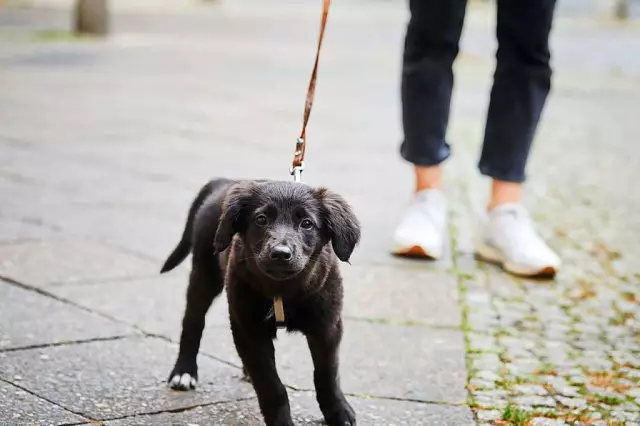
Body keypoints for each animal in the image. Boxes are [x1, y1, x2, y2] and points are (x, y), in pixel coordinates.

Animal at [160, 178, 360, 424]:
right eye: (261, 219)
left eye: (307, 224)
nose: (281, 253)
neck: (283, 288)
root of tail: (226, 182)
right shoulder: (249, 329)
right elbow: (271, 385)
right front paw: (281, 422)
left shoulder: (327, 327)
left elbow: (327, 374)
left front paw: (339, 412)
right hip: (205, 274)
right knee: (193, 321)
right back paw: (184, 372)